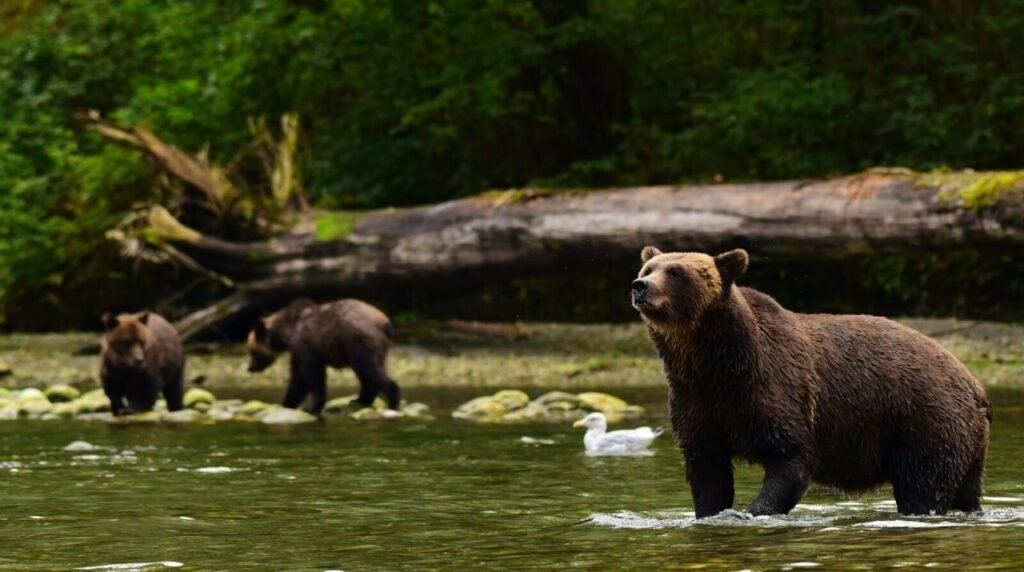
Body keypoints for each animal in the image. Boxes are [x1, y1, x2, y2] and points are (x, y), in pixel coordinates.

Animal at [246, 296, 399, 413]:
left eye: (252, 351)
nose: (250, 368)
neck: (286, 332)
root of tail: (385, 322)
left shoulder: (305, 346)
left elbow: (311, 374)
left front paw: (311, 406)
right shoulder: (297, 352)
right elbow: (297, 379)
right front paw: (287, 403)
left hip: (359, 341)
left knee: (370, 370)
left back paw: (392, 401)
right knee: (369, 374)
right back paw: (359, 400)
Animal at [630, 246, 991, 519]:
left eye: (676, 272)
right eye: (649, 266)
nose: (640, 285)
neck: (714, 362)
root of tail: (975, 386)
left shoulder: (776, 390)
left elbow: (791, 459)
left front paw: (752, 511)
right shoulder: (697, 402)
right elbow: (707, 470)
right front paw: (712, 511)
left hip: (925, 420)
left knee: (922, 486)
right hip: (964, 440)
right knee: (966, 490)